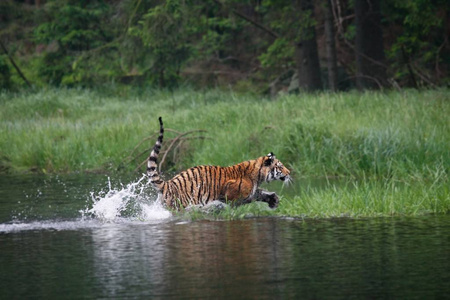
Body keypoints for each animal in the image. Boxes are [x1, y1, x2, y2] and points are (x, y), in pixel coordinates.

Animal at [146, 116, 290, 210]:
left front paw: (273, 199)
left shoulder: (252, 192)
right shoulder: (232, 191)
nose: (289, 172)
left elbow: (259, 193)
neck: (258, 176)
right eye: (280, 166)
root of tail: (168, 184)